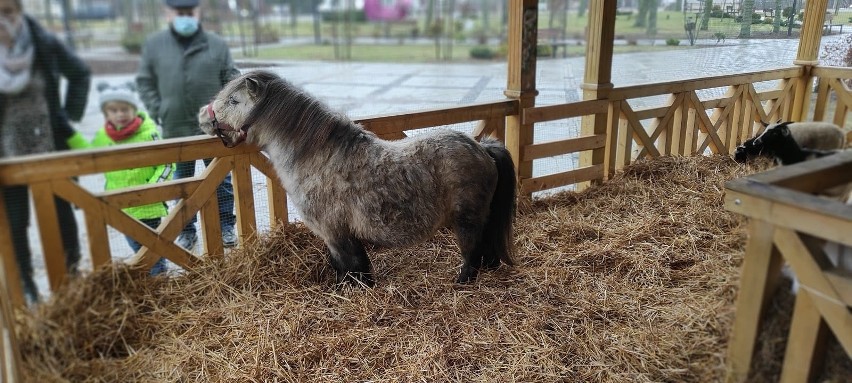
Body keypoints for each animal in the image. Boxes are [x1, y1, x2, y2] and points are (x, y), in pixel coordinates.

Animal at [199, 70, 516, 286]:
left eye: (234, 100)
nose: (203, 115)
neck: (317, 158)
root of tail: (482, 148)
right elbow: (350, 265)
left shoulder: (334, 232)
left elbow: (350, 266)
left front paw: (352, 290)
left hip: (467, 220)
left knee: (472, 252)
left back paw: (461, 281)